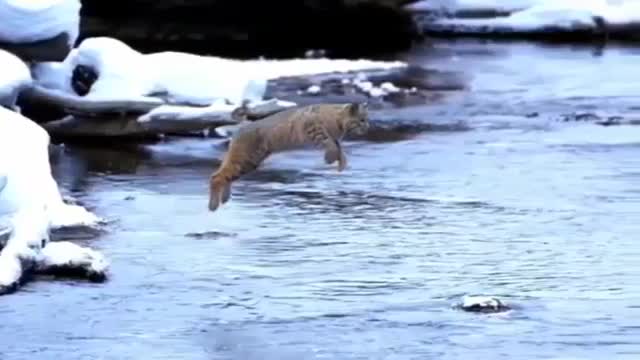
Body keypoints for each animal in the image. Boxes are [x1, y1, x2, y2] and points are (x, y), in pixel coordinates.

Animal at [209, 102, 370, 211]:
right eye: (362, 120)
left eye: (366, 119)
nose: (368, 127)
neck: (337, 119)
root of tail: (243, 125)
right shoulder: (314, 129)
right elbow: (329, 144)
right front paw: (330, 159)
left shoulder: (335, 139)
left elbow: (339, 149)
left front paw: (341, 164)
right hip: (245, 158)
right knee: (216, 176)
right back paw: (213, 205)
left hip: (250, 161)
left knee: (222, 174)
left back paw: (224, 198)